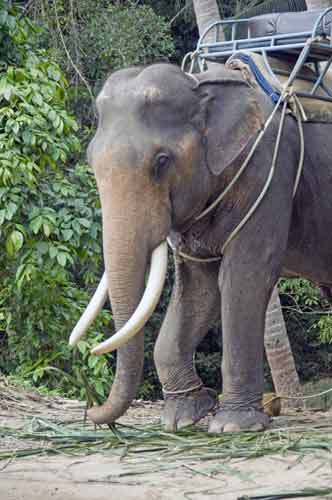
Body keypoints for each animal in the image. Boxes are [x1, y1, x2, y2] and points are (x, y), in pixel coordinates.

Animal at [69, 60, 332, 432]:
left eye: (161, 161)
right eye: (91, 162)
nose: (90, 411)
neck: (202, 84)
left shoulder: (268, 173)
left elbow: (243, 277)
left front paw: (233, 425)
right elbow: (198, 287)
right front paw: (182, 418)